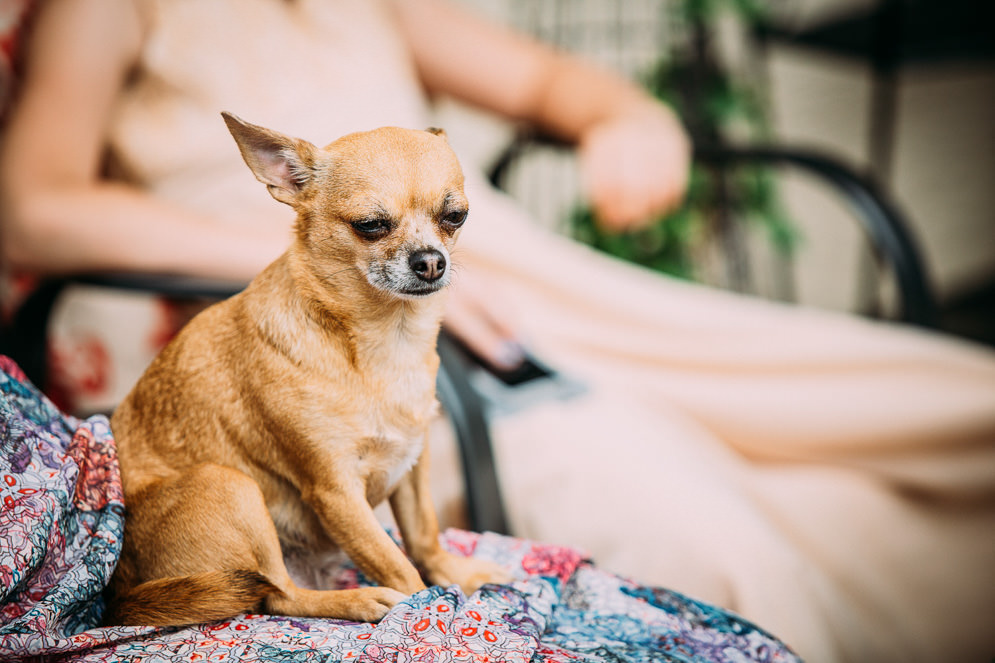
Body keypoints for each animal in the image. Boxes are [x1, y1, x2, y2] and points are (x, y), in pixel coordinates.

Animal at [106, 114, 510, 628]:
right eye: (370, 225)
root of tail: (119, 593)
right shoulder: (335, 490)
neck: (386, 343)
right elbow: (398, 566)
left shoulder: (411, 465)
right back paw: (358, 600)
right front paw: (432, 605)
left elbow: (424, 535)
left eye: (455, 217)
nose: (432, 261)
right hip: (230, 486)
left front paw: (455, 574)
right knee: (278, 595)